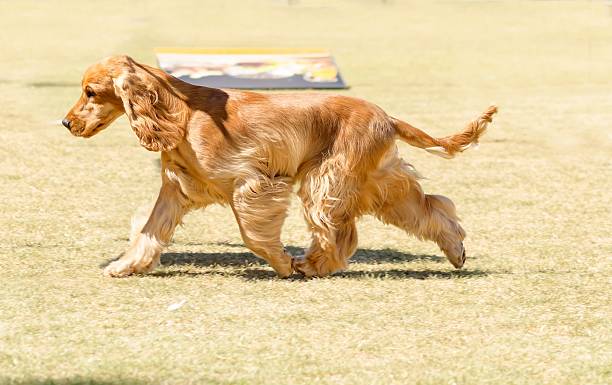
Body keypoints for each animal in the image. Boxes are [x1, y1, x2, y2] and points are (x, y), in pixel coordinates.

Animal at [62, 54, 498, 276]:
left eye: (90, 92)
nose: (66, 123)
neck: (181, 113)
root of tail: (386, 117)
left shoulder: (253, 182)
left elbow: (253, 234)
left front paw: (282, 263)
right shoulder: (177, 189)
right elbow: (149, 232)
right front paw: (125, 265)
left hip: (327, 181)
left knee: (339, 235)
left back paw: (310, 264)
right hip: (374, 182)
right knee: (429, 208)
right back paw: (455, 249)